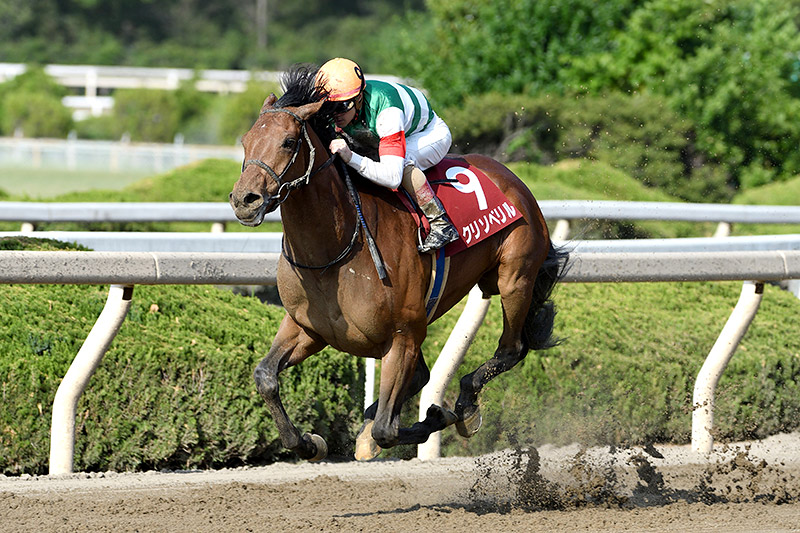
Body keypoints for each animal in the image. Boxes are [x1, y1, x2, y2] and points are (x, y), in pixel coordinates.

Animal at [228, 64, 568, 460]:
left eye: (287, 142)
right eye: (246, 141)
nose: (244, 200)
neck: (334, 252)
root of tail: (514, 180)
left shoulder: (403, 335)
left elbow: (387, 430)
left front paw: (436, 415)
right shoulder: (307, 328)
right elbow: (265, 377)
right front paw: (309, 441)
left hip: (515, 278)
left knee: (511, 349)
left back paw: (465, 406)